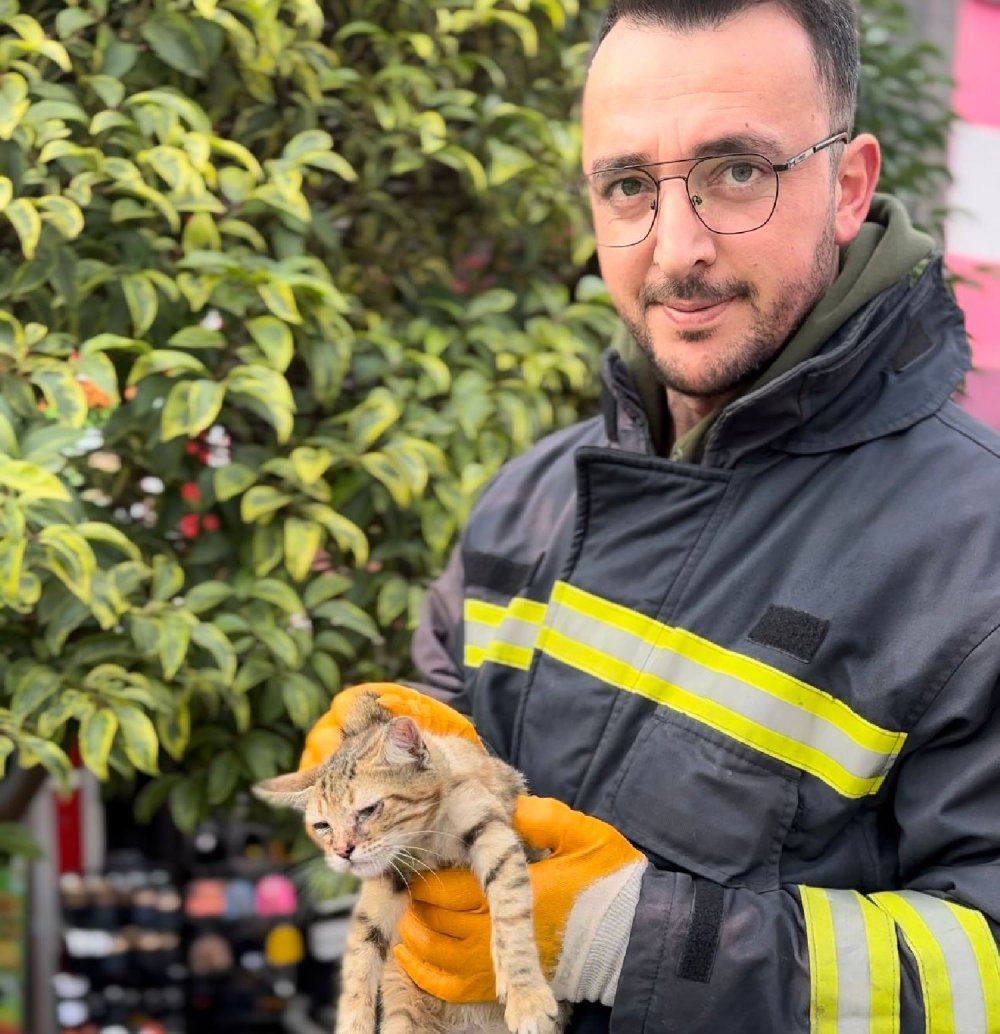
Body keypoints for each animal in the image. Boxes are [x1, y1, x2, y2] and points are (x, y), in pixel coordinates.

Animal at [252, 694, 570, 1034]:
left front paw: (526, 997)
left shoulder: (492, 831)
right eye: (323, 826)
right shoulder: (388, 874)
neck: (426, 842)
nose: (342, 851)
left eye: (368, 810)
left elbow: (510, 914)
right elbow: (360, 947)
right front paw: (352, 1022)